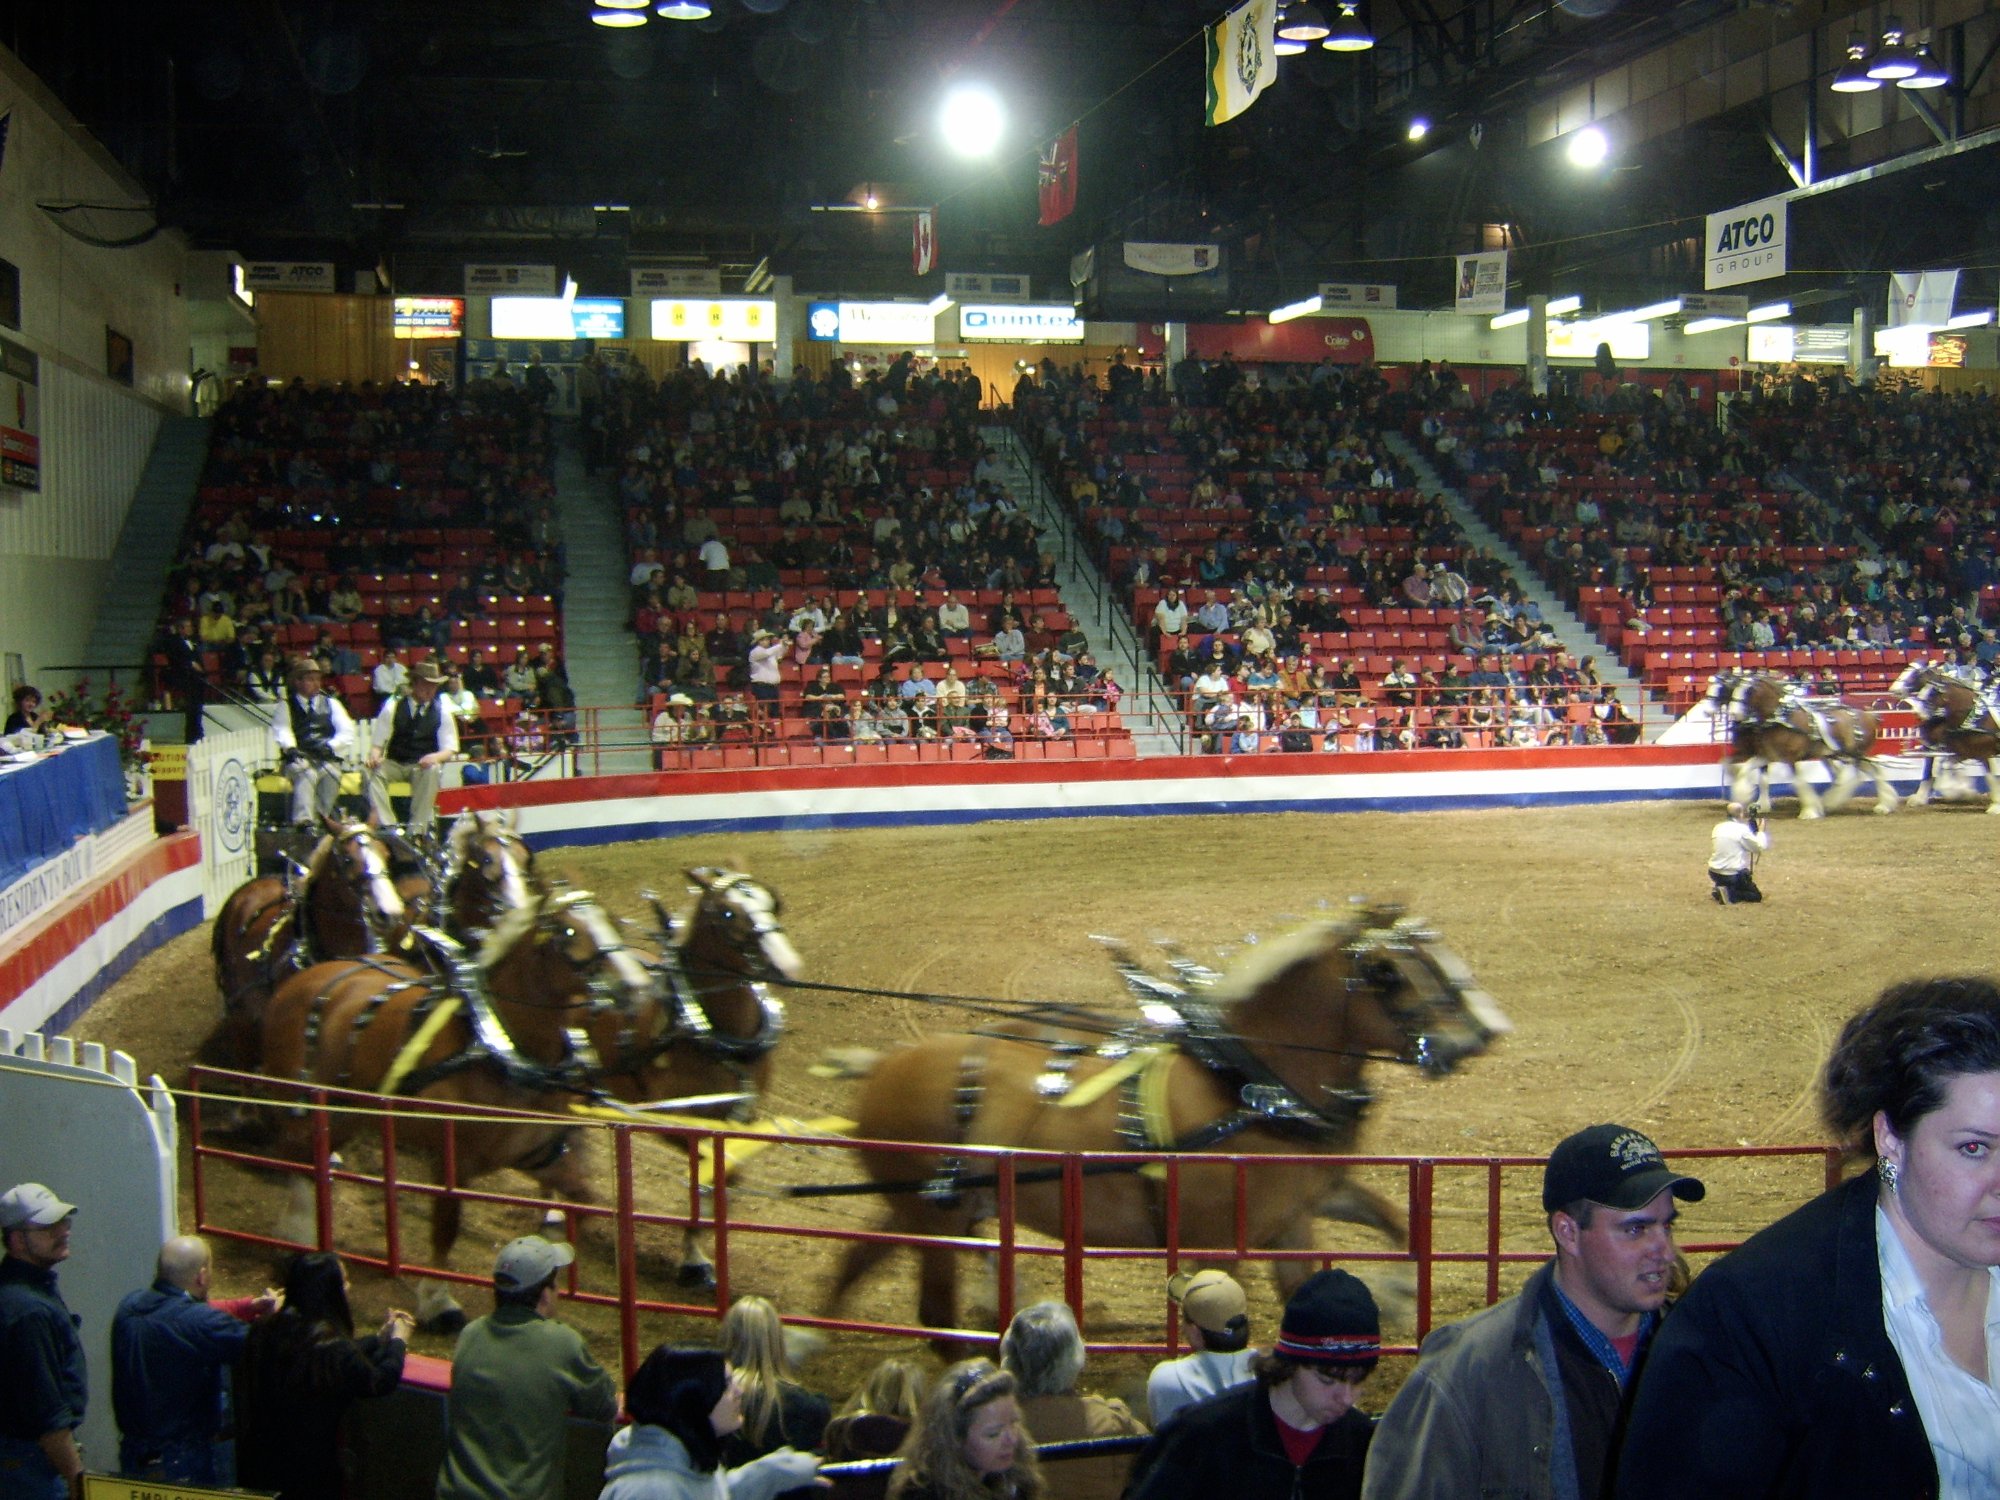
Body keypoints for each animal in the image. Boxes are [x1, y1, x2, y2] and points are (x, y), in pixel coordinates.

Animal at [254, 868, 800, 1328]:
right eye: (728, 914)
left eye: (774, 902)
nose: (787, 964)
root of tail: (312, 977)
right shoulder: (674, 1120)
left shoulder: (730, 1119)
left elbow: (714, 1182)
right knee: (298, 1159)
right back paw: (294, 1240)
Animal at [820, 904, 1504, 1336]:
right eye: (1386, 972)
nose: (1472, 1037)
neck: (1245, 1085)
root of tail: (883, 1065)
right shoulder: (1215, 1238)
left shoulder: (1297, 1211)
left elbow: (1394, 1223)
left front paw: (1398, 1295)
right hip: (935, 1217)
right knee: (930, 1311)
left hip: (922, 1207)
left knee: (856, 1260)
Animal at [1704, 676, 1904, 824]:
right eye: (1733, 690)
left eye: (1748, 691)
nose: (1735, 713)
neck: (1779, 720)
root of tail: (1870, 715)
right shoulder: (1766, 755)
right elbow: (1741, 769)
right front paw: (1744, 795)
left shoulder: (1789, 758)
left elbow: (1798, 782)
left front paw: (1809, 811)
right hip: (1845, 754)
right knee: (1866, 771)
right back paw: (1882, 804)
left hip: (1854, 753)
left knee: (1859, 774)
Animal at [1888, 664, 2000, 816]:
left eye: (1916, 674)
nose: (1894, 690)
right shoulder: (1954, 751)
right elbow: (1936, 771)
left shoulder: (1985, 753)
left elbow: (1991, 777)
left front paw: (1995, 806)